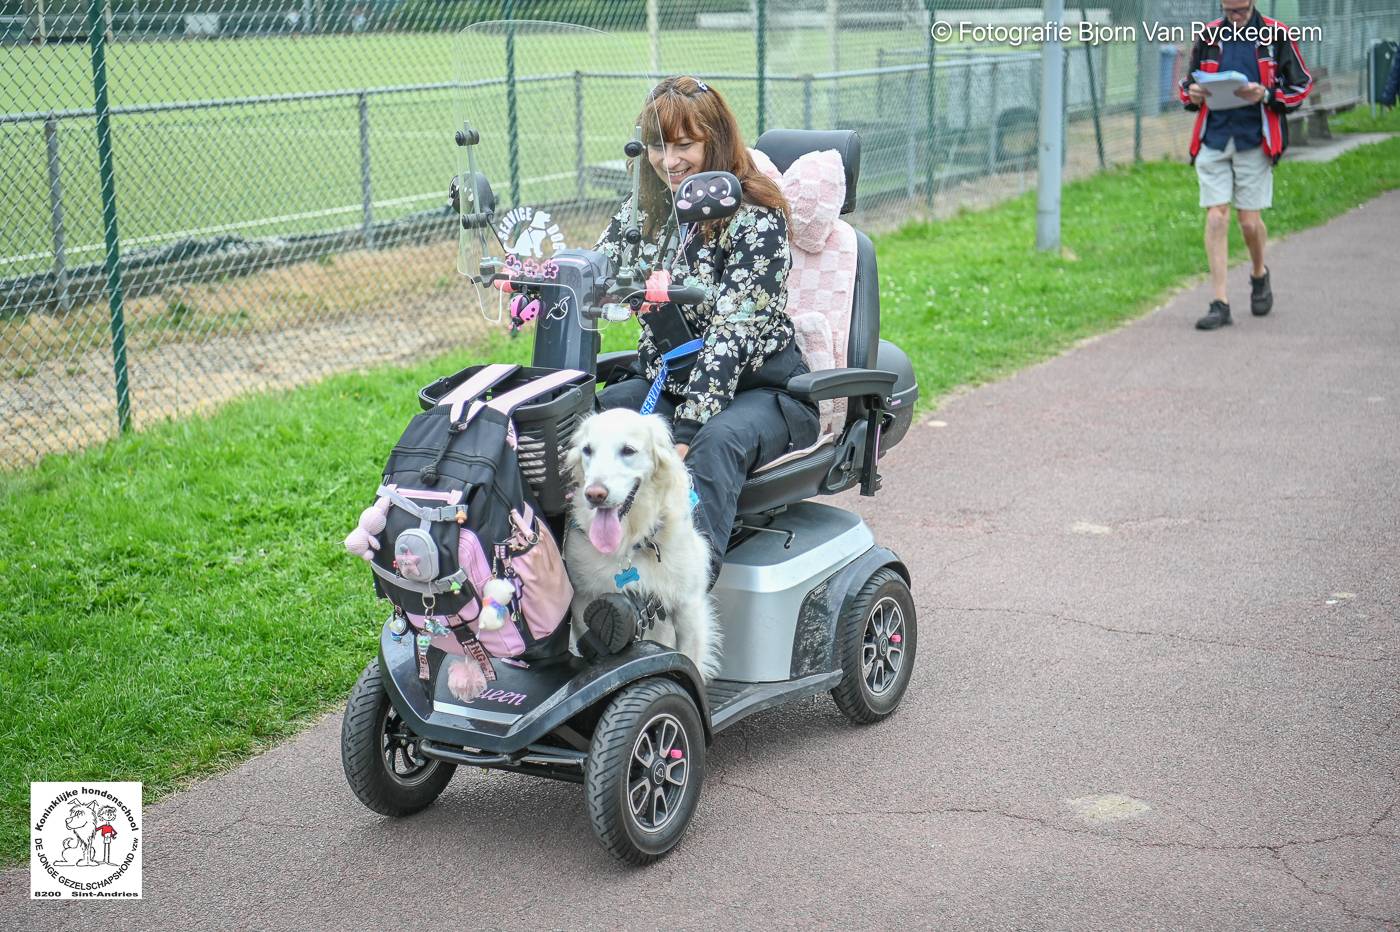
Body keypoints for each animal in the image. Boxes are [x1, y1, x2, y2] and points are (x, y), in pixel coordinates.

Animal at [562, 411, 722, 680]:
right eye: (587, 450)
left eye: (628, 450)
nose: (594, 494)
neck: (632, 543)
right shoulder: (584, 600)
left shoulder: (688, 607)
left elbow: (690, 663)